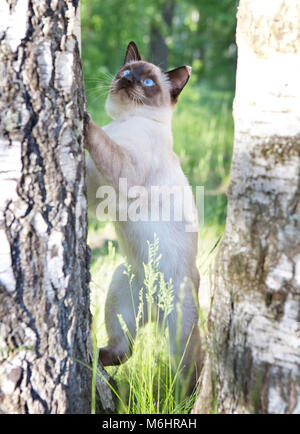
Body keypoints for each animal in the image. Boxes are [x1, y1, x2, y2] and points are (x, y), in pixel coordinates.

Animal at [84, 41, 202, 390]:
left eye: (148, 82)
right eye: (126, 72)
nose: (129, 80)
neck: (126, 121)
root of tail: (153, 304)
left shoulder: (124, 171)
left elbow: (101, 140)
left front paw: (82, 117)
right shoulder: (97, 191)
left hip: (179, 339)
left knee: (191, 372)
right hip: (120, 296)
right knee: (125, 349)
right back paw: (98, 361)